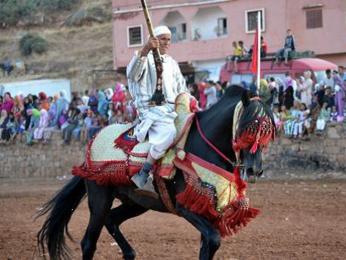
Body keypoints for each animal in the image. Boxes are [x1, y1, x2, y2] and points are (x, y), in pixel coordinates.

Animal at [36, 85, 274, 260]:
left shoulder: (208, 210)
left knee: (112, 221)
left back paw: (130, 253)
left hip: (137, 202)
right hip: (100, 199)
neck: (202, 146)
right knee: (88, 243)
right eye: (248, 127)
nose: (255, 169)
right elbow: (214, 240)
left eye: (269, 130)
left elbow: (207, 247)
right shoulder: (186, 207)